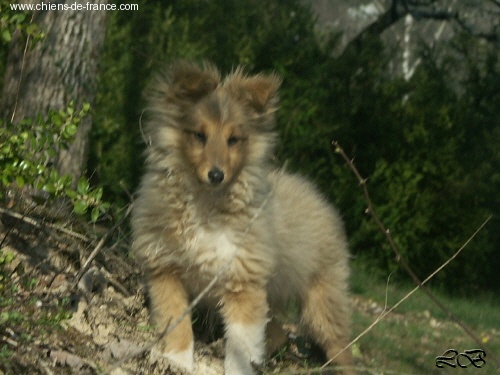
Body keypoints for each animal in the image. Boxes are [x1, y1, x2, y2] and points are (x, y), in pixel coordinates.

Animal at [131, 60, 354, 374]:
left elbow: (240, 346)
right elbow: (176, 322)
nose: (216, 175)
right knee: (278, 332)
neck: (207, 206)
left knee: (342, 349)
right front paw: (178, 360)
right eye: (199, 135)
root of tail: (318, 195)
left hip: (323, 300)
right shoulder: (165, 270)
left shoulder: (243, 281)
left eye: (234, 140)